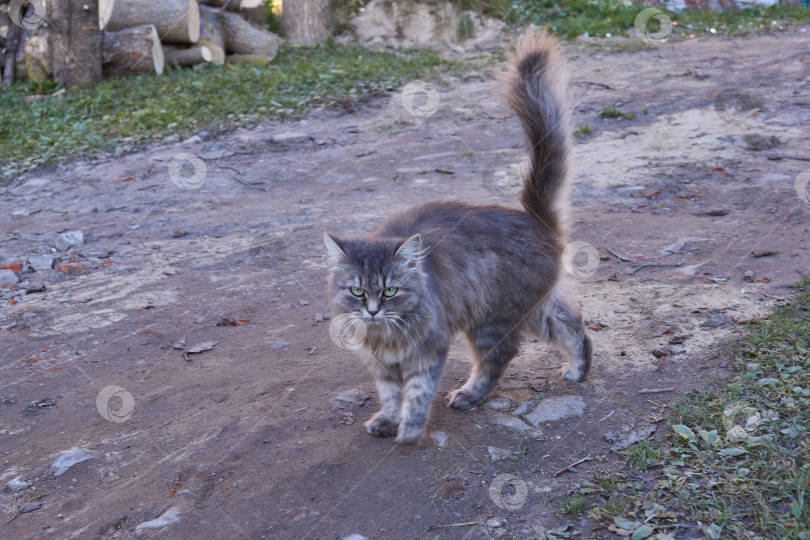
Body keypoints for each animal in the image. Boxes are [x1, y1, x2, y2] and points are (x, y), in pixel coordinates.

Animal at [322, 33, 588, 446]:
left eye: (390, 291)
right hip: (535, 308)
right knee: (573, 324)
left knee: (498, 358)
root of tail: (534, 219)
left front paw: (409, 430)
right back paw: (578, 369)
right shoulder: (382, 365)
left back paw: (470, 395)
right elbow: (390, 394)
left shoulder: (428, 351)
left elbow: (416, 394)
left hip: (492, 319)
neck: (384, 335)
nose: (373, 310)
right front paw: (387, 420)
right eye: (356, 291)